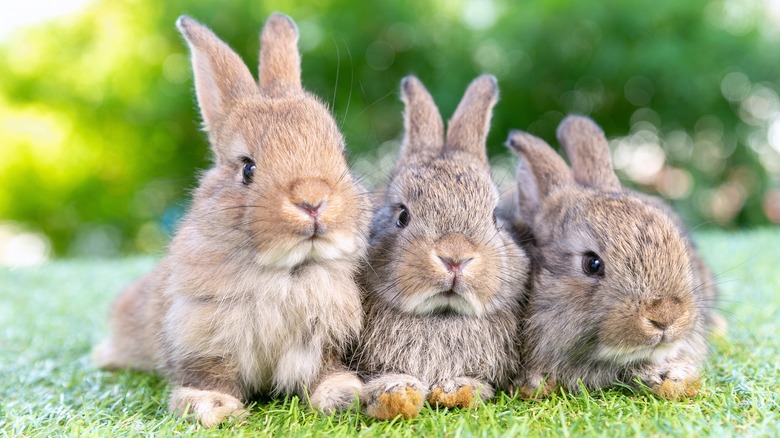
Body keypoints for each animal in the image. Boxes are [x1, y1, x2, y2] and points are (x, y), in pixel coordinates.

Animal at [91, 12, 372, 428]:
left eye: (342, 155)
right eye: (247, 168)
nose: (312, 201)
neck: (285, 272)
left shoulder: (321, 342)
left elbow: (322, 372)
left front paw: (344, 396)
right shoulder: (202, 334)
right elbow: (210, 375)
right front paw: (213, 407)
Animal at [352, 75, 532, 420]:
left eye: (494, 217)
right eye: (402, 215)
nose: (455, 258)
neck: (441, 316)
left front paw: (456, 391)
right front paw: (397, 395)